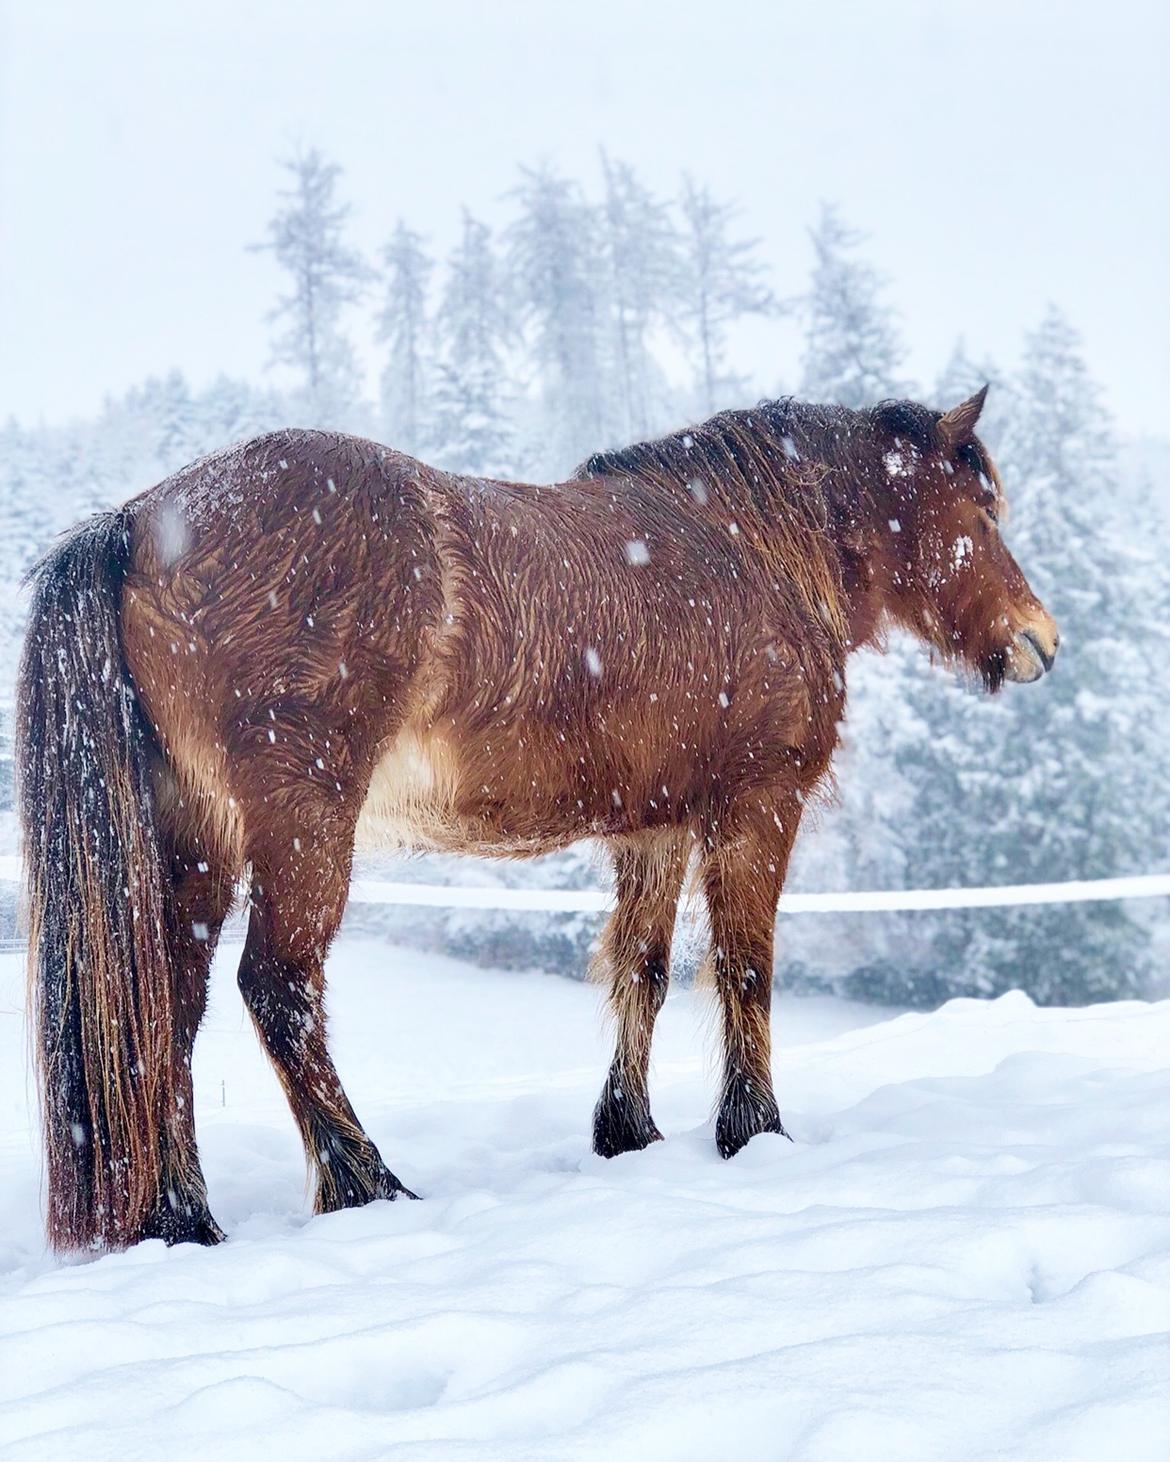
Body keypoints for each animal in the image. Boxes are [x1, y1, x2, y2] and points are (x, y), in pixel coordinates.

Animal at [18, 388, 1058, 1257]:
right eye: (983, 512)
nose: (1039, 641)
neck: (748, 548)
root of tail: (137, 526)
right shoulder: (756, 804)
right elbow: (745, 967)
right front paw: (754, 1131)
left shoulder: (655, 828)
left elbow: (642, 969)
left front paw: (627, 1131)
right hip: (300, 827)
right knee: (277, 989)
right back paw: (368, 1186)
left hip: (199, 842)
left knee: (171, 1007)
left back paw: (183, 1217)